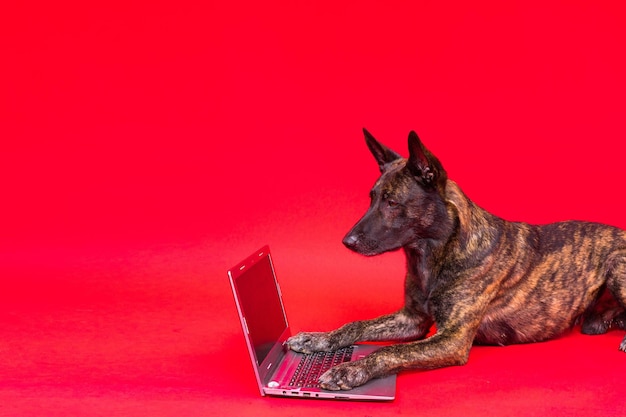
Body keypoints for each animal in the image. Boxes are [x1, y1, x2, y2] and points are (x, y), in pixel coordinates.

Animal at [286, 129, 624, 390]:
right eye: (371, 198)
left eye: (392, 203)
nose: (347, 242)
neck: (433, 254)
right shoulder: (411, 319)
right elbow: (355, 326)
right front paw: (317, 339)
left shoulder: (452, 340)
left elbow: (390, 351)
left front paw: (350, 370)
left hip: (617, 266)